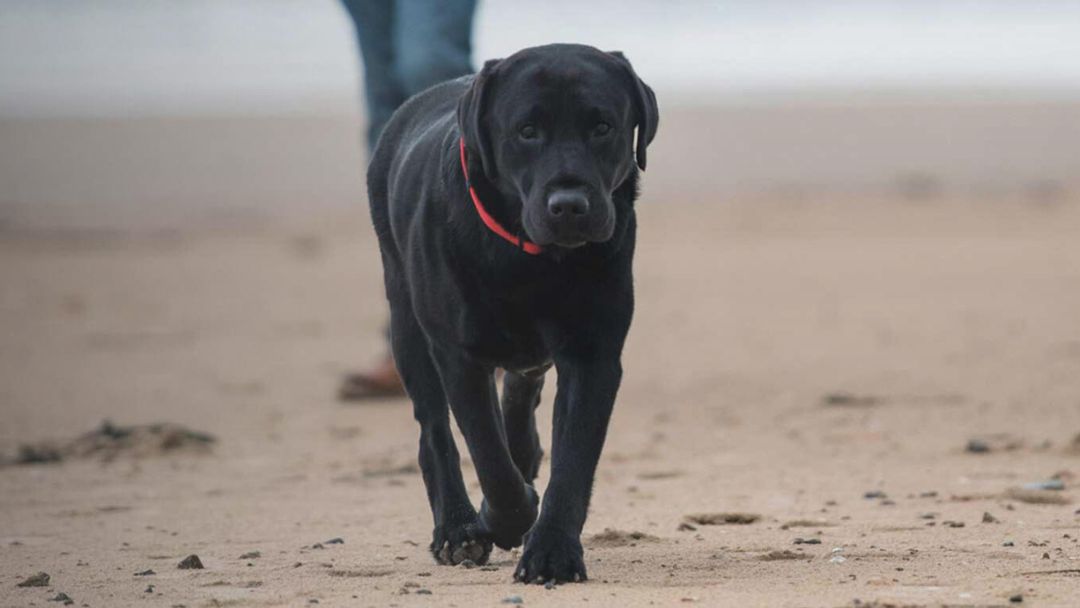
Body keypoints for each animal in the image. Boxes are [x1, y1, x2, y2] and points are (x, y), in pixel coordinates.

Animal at [367, 44, 656, 583]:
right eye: (527, 131)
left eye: (602, 126)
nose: (570, 204)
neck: (532, 261)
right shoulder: (458, 355)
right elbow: (488, 455)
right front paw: (505, 517)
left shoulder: (593, 354)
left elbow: (573, 459)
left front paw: (552, 552)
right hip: (407, 325)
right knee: (435, 432)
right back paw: (457, 527)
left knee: (521, 395)